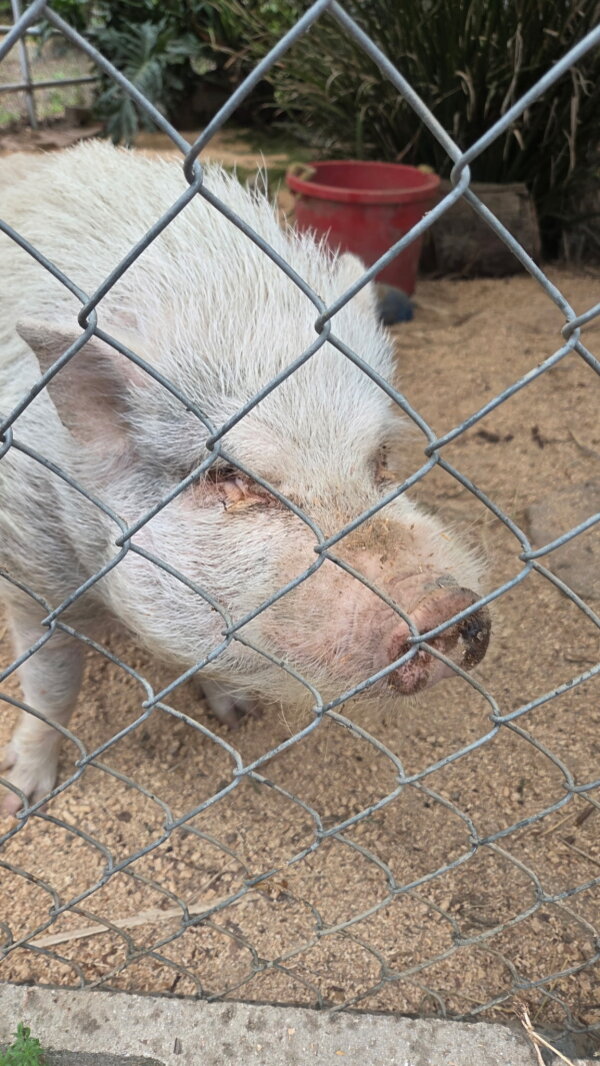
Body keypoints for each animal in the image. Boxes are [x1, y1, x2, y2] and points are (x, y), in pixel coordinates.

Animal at [0, 141, 490, 815]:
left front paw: (236, 715)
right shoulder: (31, 568)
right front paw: (22, 797)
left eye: (381, 458)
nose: (449, 603)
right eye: (229, 475)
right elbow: (51, 685)